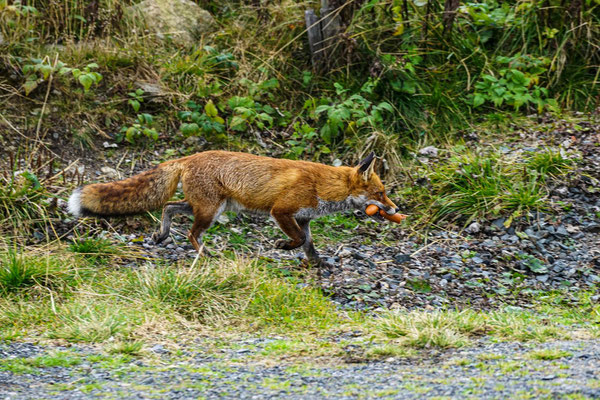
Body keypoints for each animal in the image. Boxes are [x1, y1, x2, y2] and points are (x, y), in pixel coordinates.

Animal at [69, 150, 398, 266]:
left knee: (170, 208)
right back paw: (205, 255)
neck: (322, 186)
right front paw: (282, 246)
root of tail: (189, 157)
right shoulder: (282, 211)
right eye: (381, 193)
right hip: (210, 212)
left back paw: (161, 235)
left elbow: (308, 243)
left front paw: (317, 263)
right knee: (191, 233)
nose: (395, 209)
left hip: (207, 207)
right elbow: (297, 240)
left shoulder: (303, 218)